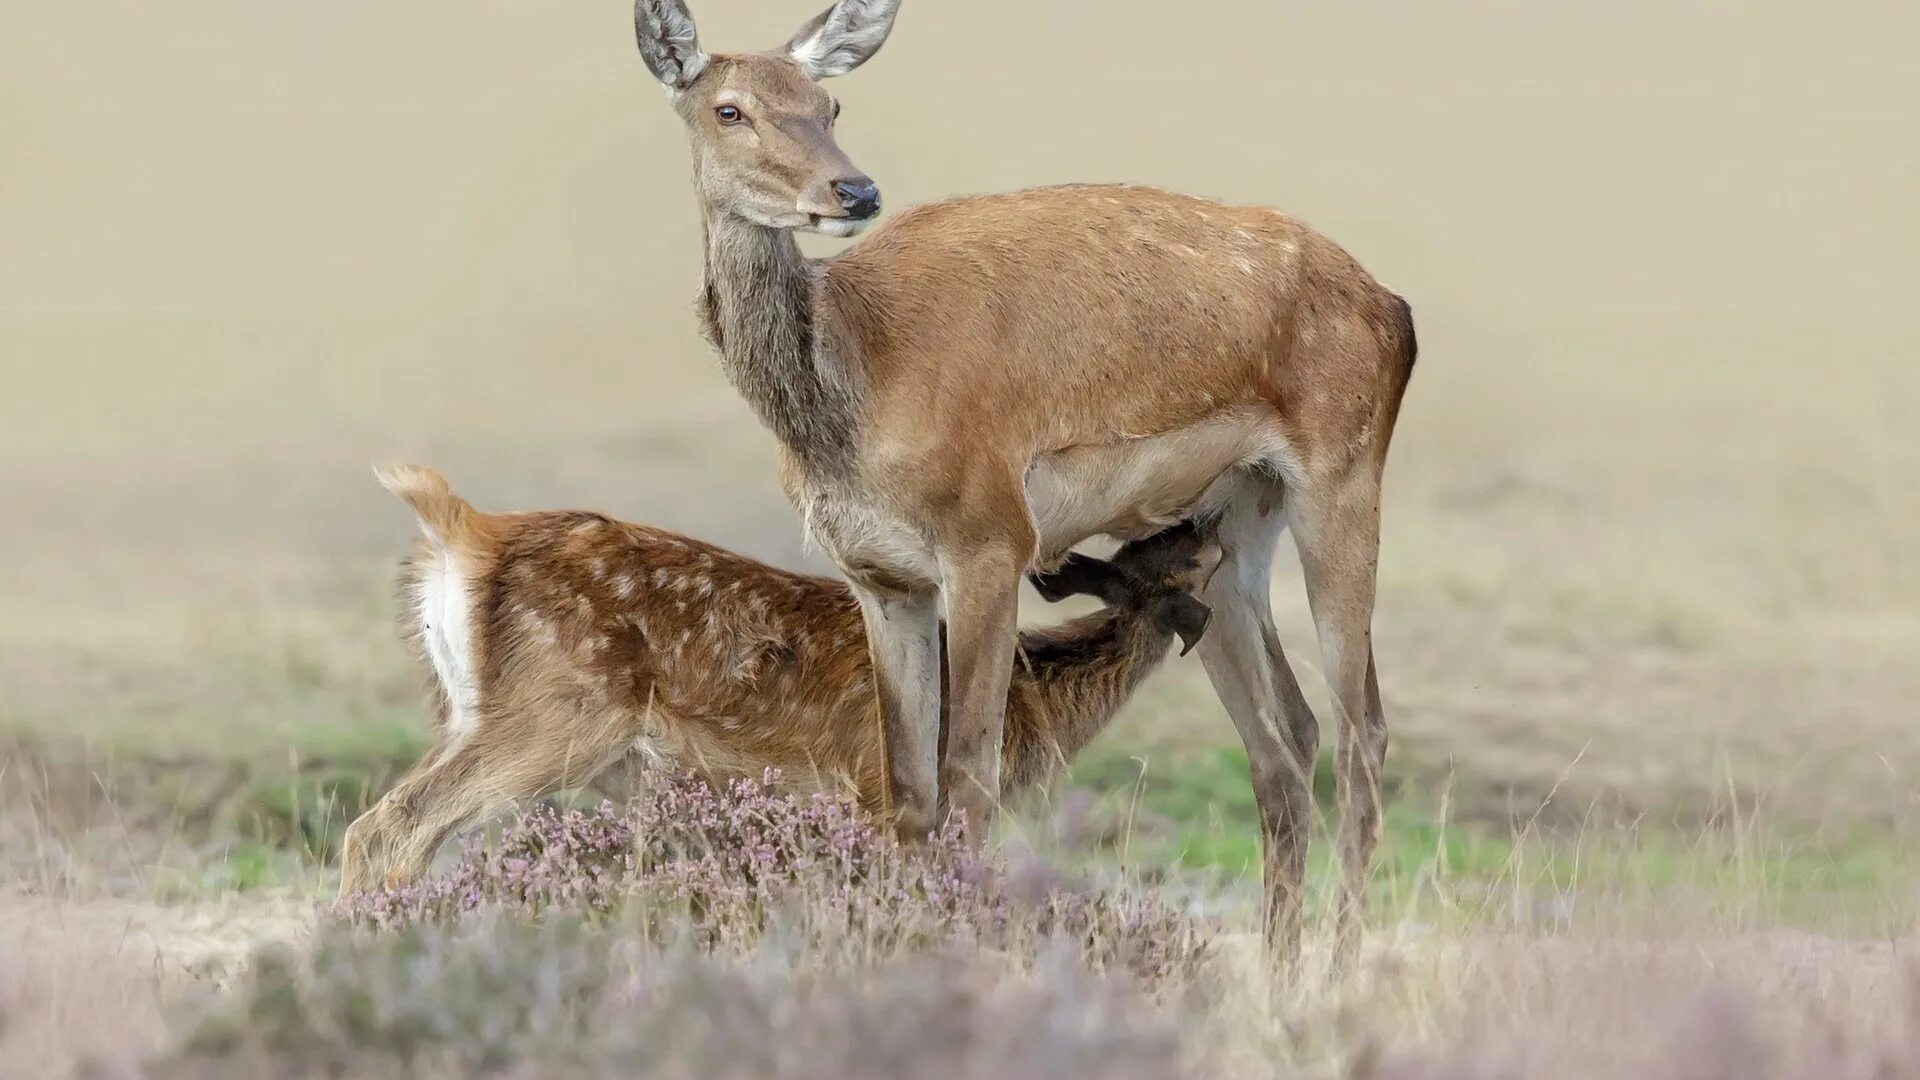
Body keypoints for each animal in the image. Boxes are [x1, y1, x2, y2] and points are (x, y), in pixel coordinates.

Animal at [637, 2, 1420, 957]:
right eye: (731, 109)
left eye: (830, 105)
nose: (853, 192)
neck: (852, 398)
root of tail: (1397, 312)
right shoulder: (880, 576)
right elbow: (910, 789)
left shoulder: (990, 539)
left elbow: (970, 771)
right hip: (1233, 526)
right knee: (1286, 738)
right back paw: (1279, 971)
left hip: (1344, 475)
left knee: (1362, 728)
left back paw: (1339, 971)